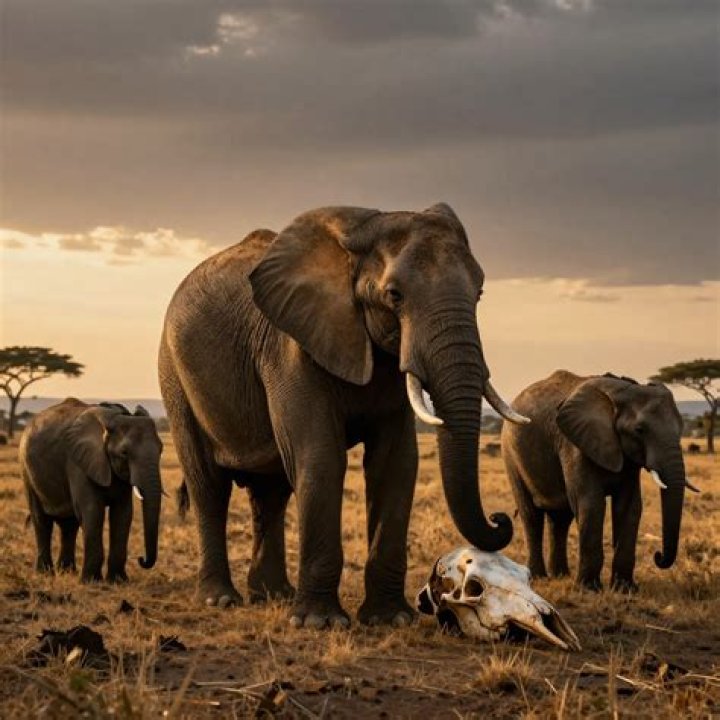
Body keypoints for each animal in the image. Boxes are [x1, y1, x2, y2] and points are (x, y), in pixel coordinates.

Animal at [19, 399, 164, 583]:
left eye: (161, 449)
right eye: (124, 453)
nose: (141, 559)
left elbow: (123, 514)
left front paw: (118, 581)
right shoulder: (78, 462)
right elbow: (92, 511)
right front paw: (91, 581)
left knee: (69, 524)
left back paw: (67, 572)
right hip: (26, 470)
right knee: (42, 520)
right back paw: (44, 573)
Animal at [159, 203, 528, 628]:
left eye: (480, 293)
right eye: (394, 296)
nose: (501, 519)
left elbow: (396, 464)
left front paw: (390, 620)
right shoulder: (292, 347)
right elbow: (321, 458)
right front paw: (319, 624)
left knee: (271, 491)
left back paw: (273, 595)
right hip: (174, 374)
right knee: (208, 484)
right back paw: (219, 599)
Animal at [501, 371, 696, 592]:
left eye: (681, 428)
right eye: (639, 430)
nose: (658, 556)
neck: (622, 392)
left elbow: (630, 507)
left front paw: (625, 589)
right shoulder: (575, 445)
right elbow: (591, 504)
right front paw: (589, 589)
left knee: (560, 518)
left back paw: (561, 576)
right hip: (510, 454)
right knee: (531, 515)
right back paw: (538, 578)